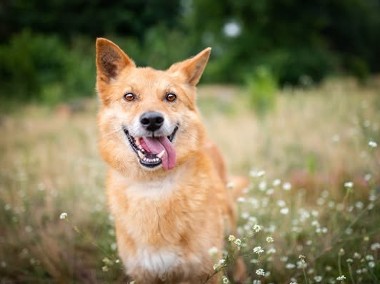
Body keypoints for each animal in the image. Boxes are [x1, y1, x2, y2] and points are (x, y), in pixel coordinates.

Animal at [95, 38, 246, 284]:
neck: (155, 185)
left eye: (170, 97)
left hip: (230, 221)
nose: (152, 120)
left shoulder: (207, 270)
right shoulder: (143, 274)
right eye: (129, 96)